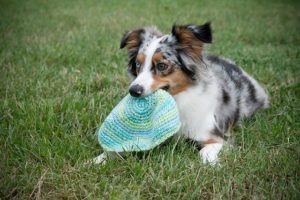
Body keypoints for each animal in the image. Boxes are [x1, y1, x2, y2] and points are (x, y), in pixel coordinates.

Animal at [91, 22, 268, 166]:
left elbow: (205, 152)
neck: (177, 100)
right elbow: (120, 149)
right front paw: (98, 160)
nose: (133, 91)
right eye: (138, 64)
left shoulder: (218, 138)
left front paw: (211, 164)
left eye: (162, 65)